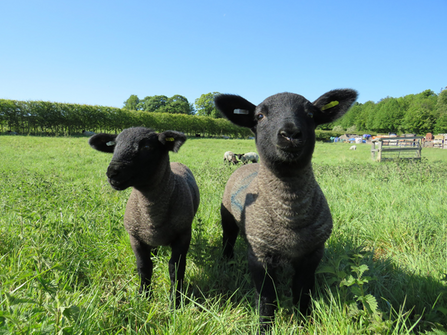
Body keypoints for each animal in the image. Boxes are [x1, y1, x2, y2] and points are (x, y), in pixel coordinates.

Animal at [89, 128, 200, 308]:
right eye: (114, 146)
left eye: (147, 146)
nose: (112, 173)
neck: (152, 214)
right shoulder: (135, 237)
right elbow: (144, 267)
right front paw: (143, 296)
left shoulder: (183, 235)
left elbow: (176, 269)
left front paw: (175, 302)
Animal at [215, 89, 358, 334]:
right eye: (260, 115)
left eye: (311, 114)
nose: (290, 133)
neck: (290, 215)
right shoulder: (259, 255)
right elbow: (266, 299)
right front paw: (264, 328)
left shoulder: (312, 254)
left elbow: (302, 292)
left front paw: (304, 323)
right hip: (228, 219)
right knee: (229, 239)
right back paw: (227, 262)